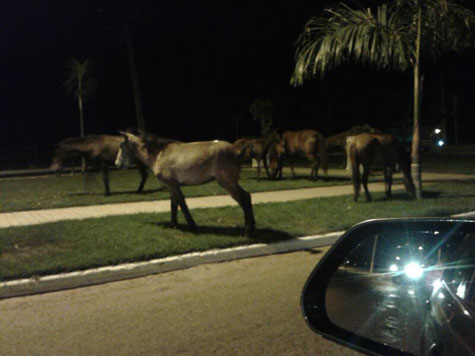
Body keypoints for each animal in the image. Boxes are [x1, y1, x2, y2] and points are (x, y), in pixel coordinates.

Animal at [115, 131, 256, 234]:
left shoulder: (172, 185)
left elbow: (182, 204)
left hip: (227, 182)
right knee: (247, 197)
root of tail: (236, 150)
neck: (159, 154)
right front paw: (173, 224)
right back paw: (250, 226)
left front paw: (192, 226)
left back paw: (248, 229)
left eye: (121, 145)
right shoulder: (171, 185)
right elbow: (174, 204)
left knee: (243, 199)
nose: (117, 164)